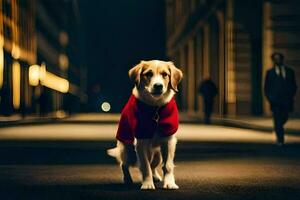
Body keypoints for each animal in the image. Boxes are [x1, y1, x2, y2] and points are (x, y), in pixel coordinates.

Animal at [108, 59, 183, 191]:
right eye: (148, 74)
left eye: (165, 74)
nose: (158, 86)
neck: (155, 107)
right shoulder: (140, 143)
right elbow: (145, 166)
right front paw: (147, 183)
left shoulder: (169, 141)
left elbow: (167, 165)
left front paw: (169, 183)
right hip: (127, 149)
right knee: (124, 164)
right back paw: (128, 179)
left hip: (157, 154)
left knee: (154, 164)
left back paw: (156, 176)